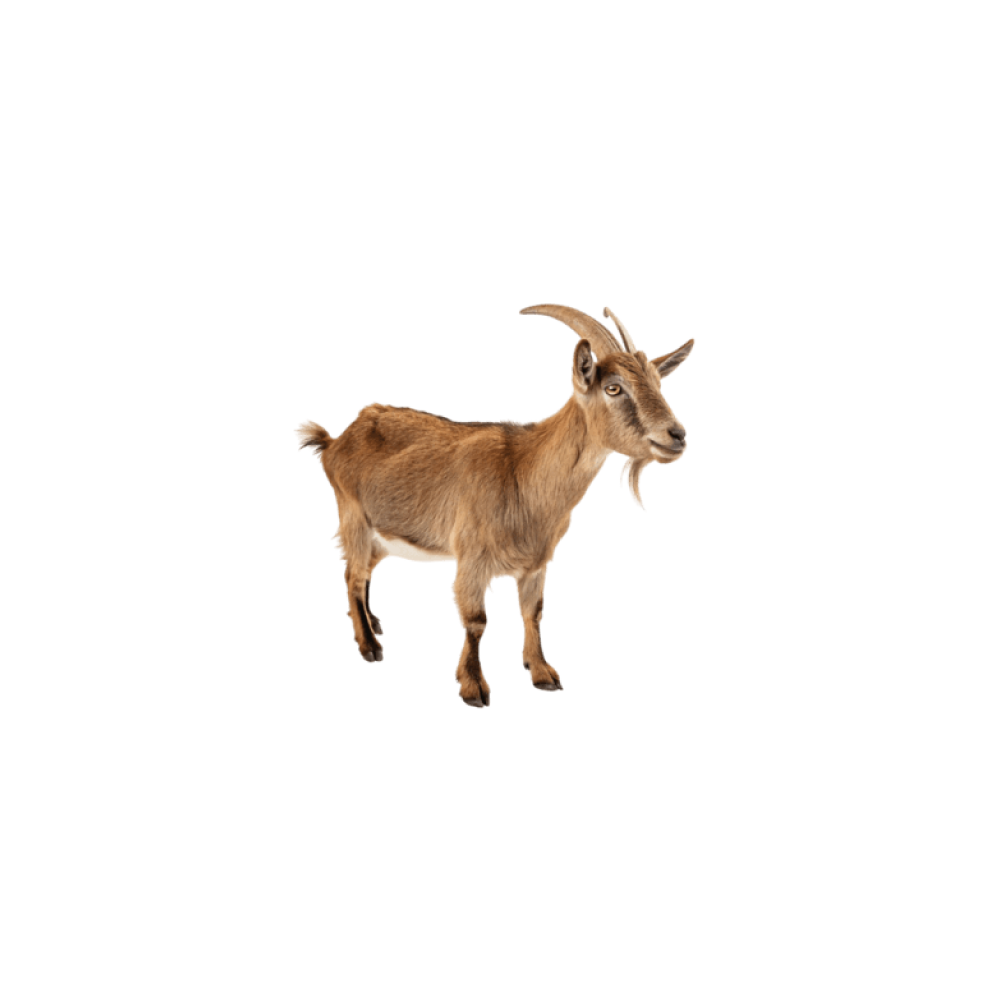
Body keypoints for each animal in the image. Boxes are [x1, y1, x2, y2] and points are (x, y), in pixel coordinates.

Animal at [299, 304, 694, 707]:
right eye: (614, 387)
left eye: (658, 384)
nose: (677, 435)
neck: (523, 472)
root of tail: (335, 441)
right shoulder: (472, 556)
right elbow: (476, 621)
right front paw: (473, 686)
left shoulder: (536, 563)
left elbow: (533, 613)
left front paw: (541, 672)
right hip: (354, 518)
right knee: (353, 575)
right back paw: (369, 645)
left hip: (383, 533)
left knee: (363, 573)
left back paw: (372, 621)